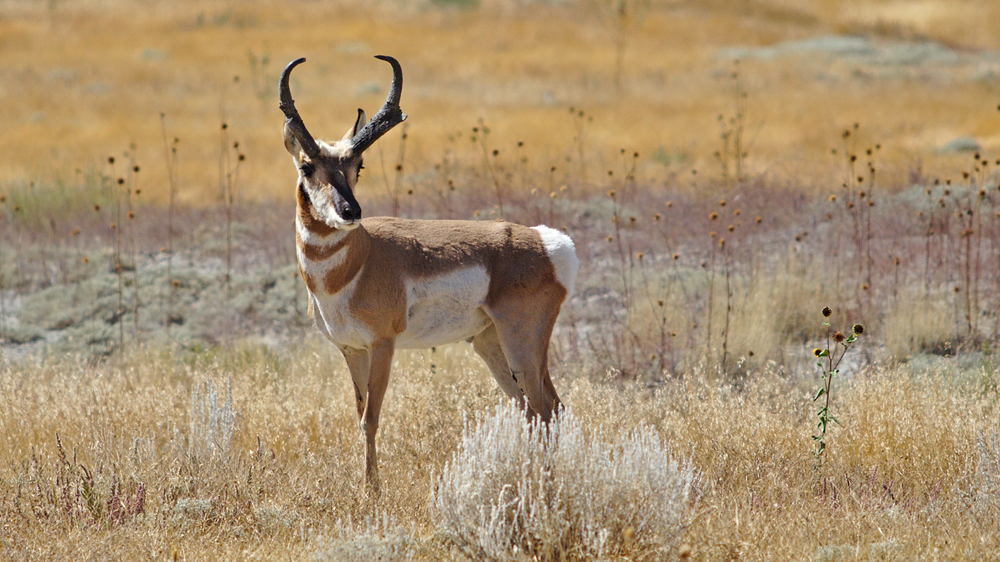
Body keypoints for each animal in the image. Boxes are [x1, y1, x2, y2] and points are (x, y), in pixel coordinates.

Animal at [279, 55, 579, 492]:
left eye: (358, 166)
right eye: (306, 165)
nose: (350, 212)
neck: (360, 260)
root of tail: (547, 241)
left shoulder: (382, 345)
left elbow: (370, 419)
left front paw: (372, 491)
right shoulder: (351, 350)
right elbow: (358, 416)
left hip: (522, 343)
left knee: (548, 408)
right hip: (490, 345)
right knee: (531, 409)